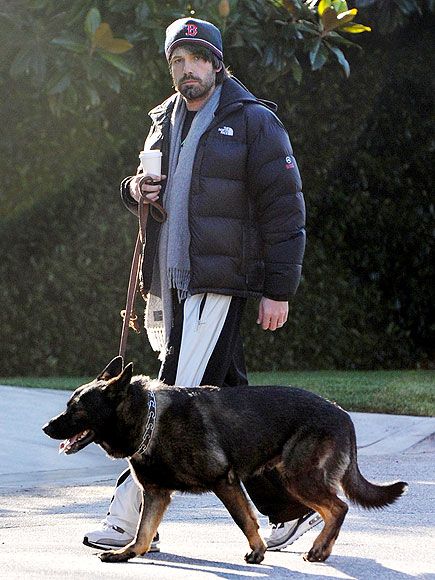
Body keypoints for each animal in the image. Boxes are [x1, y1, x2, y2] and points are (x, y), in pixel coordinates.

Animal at [42, 356, 408, 564]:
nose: (46, 427)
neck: (149, 420)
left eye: (76, 409)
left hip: (297, 477)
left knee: (338, 507)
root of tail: (342, 413)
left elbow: (244, 520)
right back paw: (320, 547)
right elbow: (143, 533)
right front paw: (126, 554)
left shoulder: (225, 482)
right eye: (68, 405)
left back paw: (319, 549)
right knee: (330, 508)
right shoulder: (157, 494)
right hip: (292, 475)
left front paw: (257, 552)